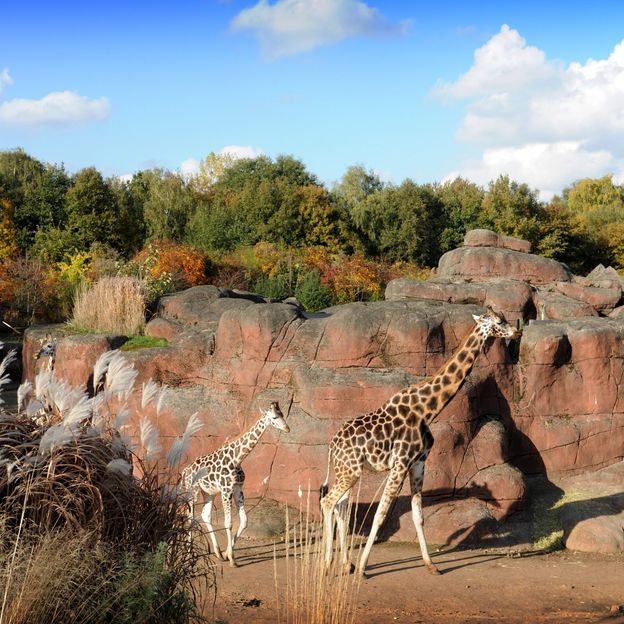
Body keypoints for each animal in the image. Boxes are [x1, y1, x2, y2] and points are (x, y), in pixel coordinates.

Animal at [180, 402, 288, 568]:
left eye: (282, 414)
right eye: (274, 417)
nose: (287, 428)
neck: (237, 458)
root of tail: (185, 470)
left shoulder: (238, 490)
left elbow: (244, 521)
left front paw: (226, 553)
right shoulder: (226, 490)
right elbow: (228, 523)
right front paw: (232, 559)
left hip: (209, 492)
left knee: (205, 515)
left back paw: (217, 552)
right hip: (193, 491)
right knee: (190, 517)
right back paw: (188, 552)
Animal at [320, 306, 520, 576]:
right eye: (499, 321)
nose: (517, 332)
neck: (427, 409)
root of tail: (332, 445)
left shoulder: (418, 462)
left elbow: (418, 515)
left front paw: (431, 565)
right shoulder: (400, 463)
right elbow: (380, 515)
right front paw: (363, 567)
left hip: (348, 471)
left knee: (340, 507)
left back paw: (344, 564)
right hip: (349, 470)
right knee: (327, 502)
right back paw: (327, 564)